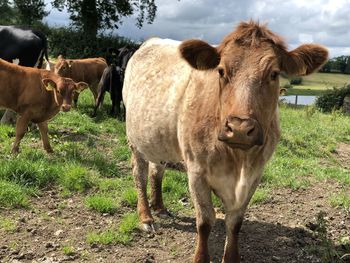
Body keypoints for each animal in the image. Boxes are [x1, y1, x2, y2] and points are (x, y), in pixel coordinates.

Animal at [123, 21, 328, 263]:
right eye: (221, 71)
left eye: (274, 73)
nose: (239, 129)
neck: (239, 161)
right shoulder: (197, 172)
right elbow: (205, 221)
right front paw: (201, 257)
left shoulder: (255, 175)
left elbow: (235, 222)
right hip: (135, 142)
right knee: (140, 175)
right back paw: (146, 217)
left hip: (159, 142)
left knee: (157, 170)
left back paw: (160, 207)